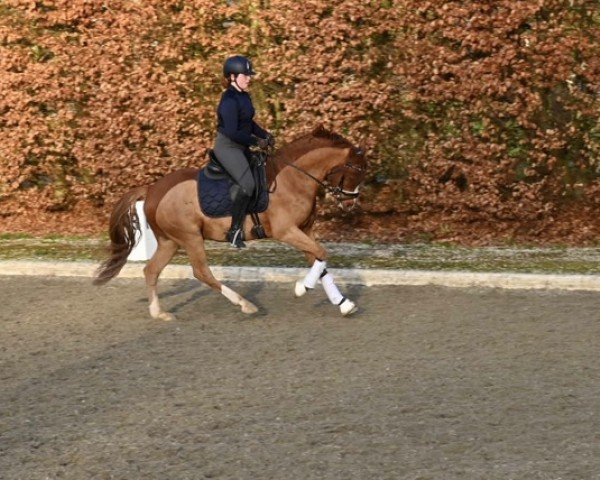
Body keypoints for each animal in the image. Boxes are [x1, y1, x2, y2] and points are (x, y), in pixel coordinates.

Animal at [93, 125, 366, 318]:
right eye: (356, 171)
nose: (350, 203)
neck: (294, 177)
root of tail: (151, 190)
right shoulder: (287, 231)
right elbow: (321, 254)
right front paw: (302, 288)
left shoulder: (304, 230)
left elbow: (319, 260)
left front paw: (344, 304)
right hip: (190, 237)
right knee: (201, 272)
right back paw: (245, 304)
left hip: (170, 241)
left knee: (151, 270)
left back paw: (159, 313)